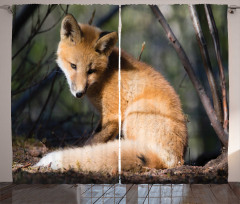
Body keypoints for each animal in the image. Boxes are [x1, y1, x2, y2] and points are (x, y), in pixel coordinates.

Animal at [35, 13, 188, 172]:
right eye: (73, 66)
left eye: (91, 71)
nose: (79, 93)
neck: (104, 76)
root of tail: (175, 159)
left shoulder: (114, 114)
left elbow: (94, 141)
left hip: (133, 114)